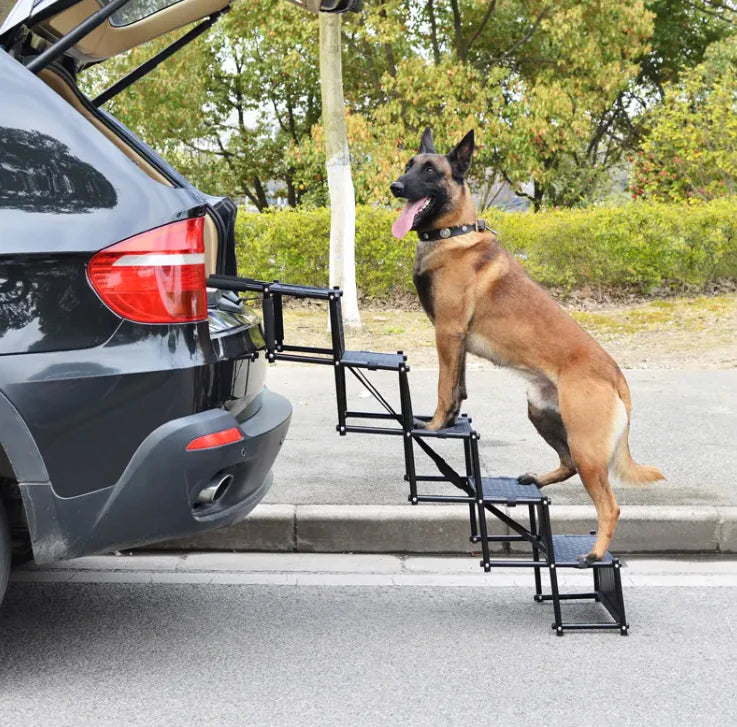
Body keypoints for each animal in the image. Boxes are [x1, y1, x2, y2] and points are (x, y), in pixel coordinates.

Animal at [388, 128, 664, 564]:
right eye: (408, 165)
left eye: (431, 171)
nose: (395, 186)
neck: (454, 235)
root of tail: (617, 376)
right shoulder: (457, 341)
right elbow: (458, 389)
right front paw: (449, 423)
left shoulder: (448, 332)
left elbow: (443, 387)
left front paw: (433, 426)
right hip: (541, 412)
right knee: (567, 463)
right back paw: (537, 478)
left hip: (586, 446)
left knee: (610, 504)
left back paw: (595, 554)